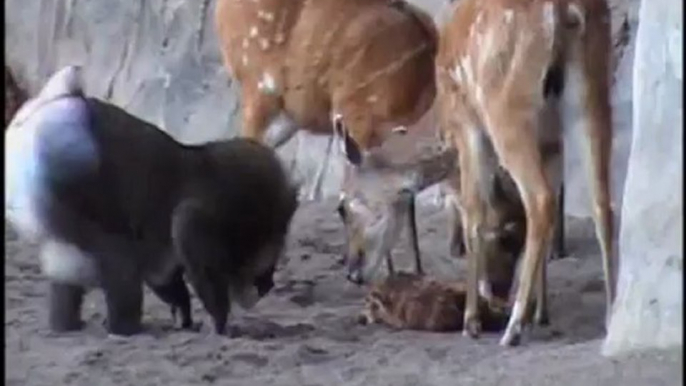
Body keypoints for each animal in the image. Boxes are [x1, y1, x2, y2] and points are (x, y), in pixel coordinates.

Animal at [4, 65, 300, 334]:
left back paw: (68, 325)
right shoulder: (194, 221)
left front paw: (185, 317)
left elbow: (167, 281)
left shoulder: (161, 254)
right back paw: (125, 327)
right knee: (119, 266)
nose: (267, 284)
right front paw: (220, 325)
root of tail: (63, 100)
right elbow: (202, 277)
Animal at [215, 0, 440, 276]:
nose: (354, 272)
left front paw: (415, 271)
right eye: (340, 210)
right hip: (259, 94)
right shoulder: (358, 124)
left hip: (287, 116)